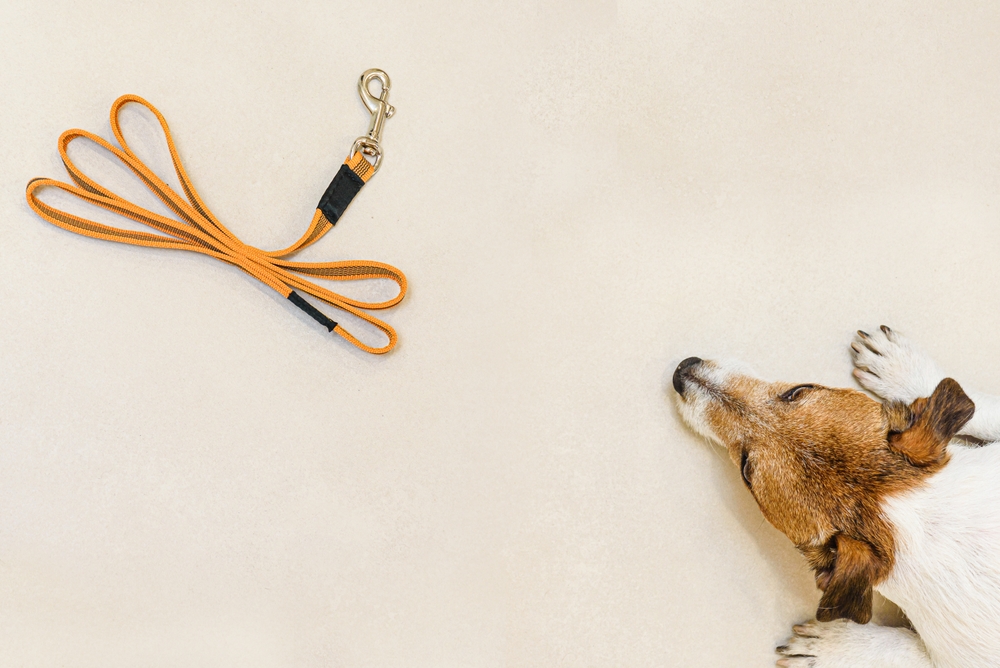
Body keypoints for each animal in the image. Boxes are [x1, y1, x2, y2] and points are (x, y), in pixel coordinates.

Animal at [672, 328, 1000, 668]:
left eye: (746, 470)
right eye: (798, 390)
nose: (682, 370)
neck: (929, 519)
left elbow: (902, 650)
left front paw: (836, 647)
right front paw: (903, 369)